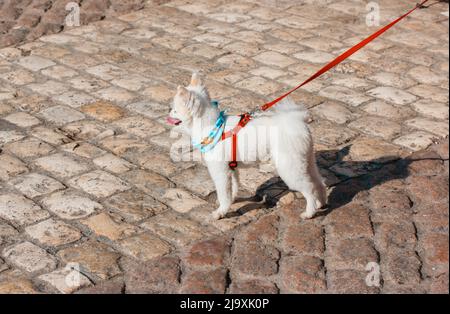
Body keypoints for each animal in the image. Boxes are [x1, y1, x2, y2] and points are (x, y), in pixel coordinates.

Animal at [167, 73, 326, 221]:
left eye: (174, 110)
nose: (167, 113)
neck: (213, 126)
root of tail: (297, 122)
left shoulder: (220, 171)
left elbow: (223, 193)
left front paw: (220, 212)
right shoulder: (231, 168)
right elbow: (233, 187)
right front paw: (232, 201)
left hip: (289, 169)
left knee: (309, 188)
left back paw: (309, 212)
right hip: (306, 161)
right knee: (318, 182)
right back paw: (321, 203)